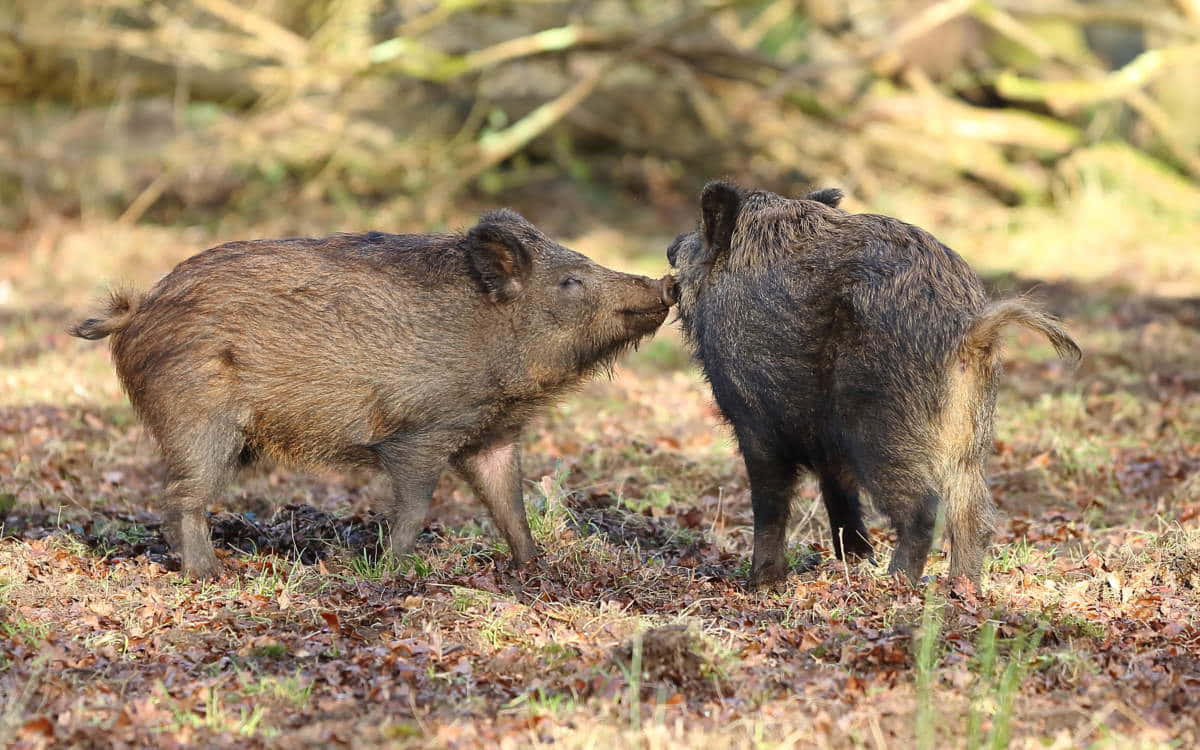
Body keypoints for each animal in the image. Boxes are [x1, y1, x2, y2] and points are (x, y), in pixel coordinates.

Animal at [72, 210, 677, 578]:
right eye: (571, 282)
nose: (666, 282)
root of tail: (136, 309)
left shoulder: (492, 436)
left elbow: (511, 504)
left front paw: (538, 568)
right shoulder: (420, 433)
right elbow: (415, 505)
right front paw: (391, 570)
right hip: (197, 419)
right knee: (180, 498)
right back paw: (215, 575)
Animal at [667, 182, 1080, 587]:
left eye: (699, 234)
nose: (671, 247)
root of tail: (970, 330)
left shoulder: (754, 418)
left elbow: (770, 502)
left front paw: (762, 583)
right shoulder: (826, 444)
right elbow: (838, 492)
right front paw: (855, 559)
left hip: (882, 427)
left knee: (924, 508)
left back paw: (894, 583)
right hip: (971, 436)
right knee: (973, 514)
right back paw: (960, 590)